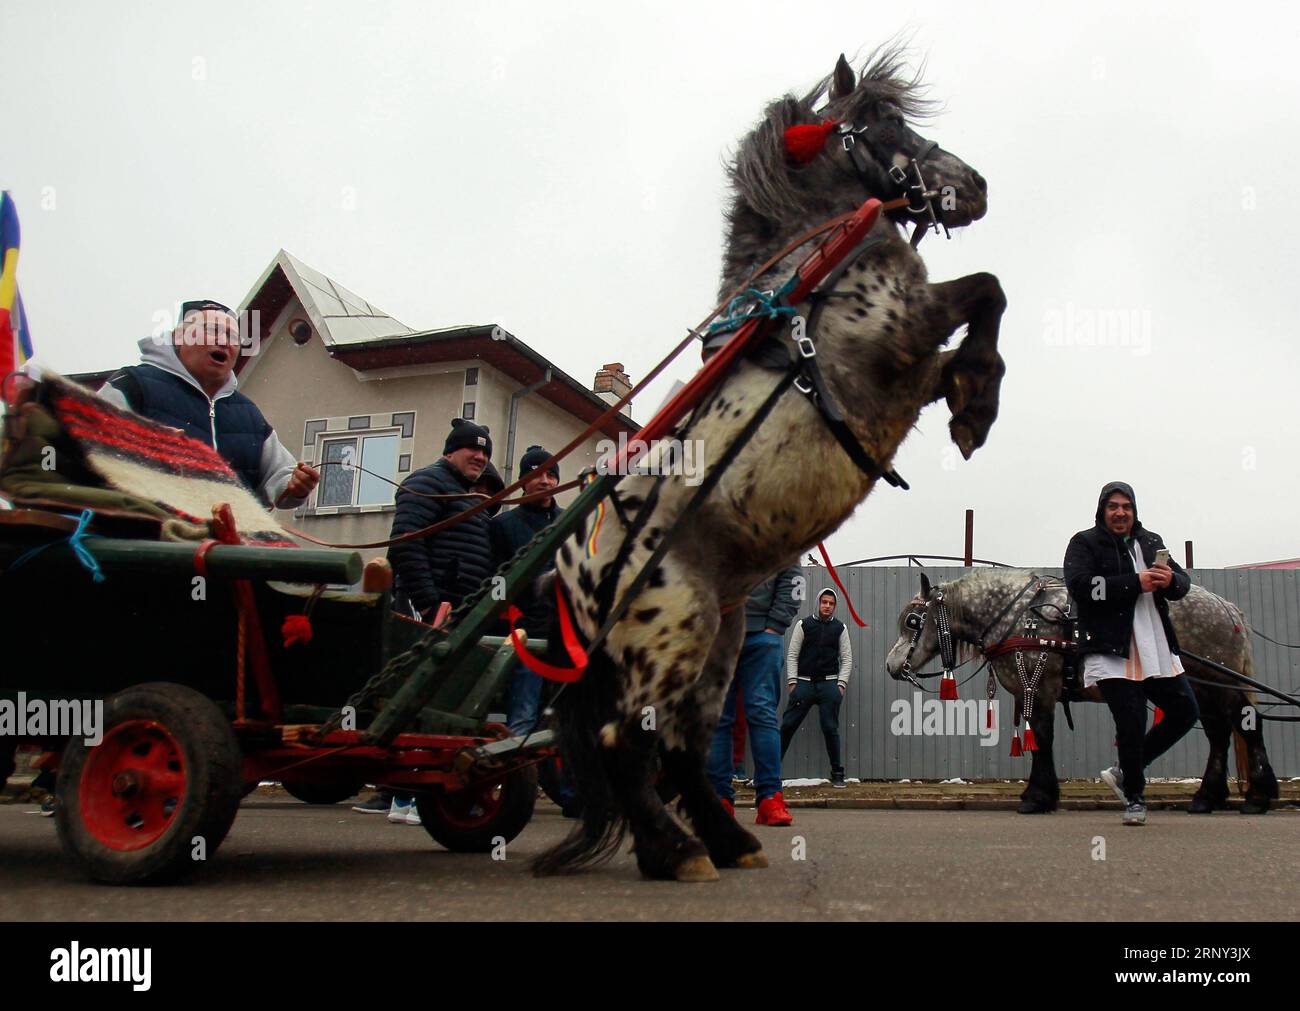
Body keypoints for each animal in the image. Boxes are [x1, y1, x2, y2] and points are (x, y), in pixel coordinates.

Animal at [883, 571, 1279, 816]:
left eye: (913, 622)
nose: (891, 665)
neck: (1020, 619)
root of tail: (1229, 609)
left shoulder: (1040, 688)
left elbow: (1042, 739)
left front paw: (1037, 796)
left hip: (1217, 683)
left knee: (1247, 727)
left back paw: (1257, 796)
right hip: (1205, 688)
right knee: (1220, 734)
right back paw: (1209, 797)